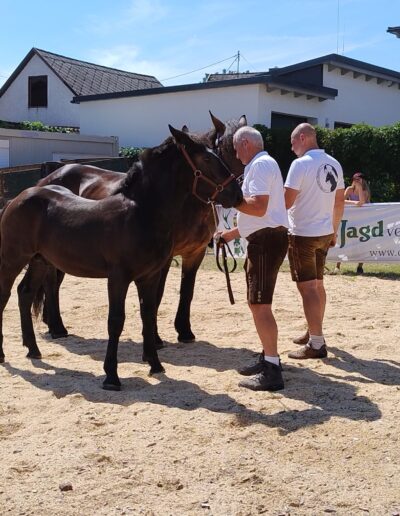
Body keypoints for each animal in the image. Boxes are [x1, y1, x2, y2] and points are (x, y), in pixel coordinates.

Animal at [0, 127, 244, 390]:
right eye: (207, 158)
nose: (237, 194)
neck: (140, 214)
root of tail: (16, 199)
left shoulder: (149, 276)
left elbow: (148, 313)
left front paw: (155, 364)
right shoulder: (118, 277)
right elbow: (116, 320)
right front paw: (111, 377)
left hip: (39, 260)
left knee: (25, 293)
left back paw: (33, 349)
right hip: (13, 259)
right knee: (7, 296)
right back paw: (5, 353)